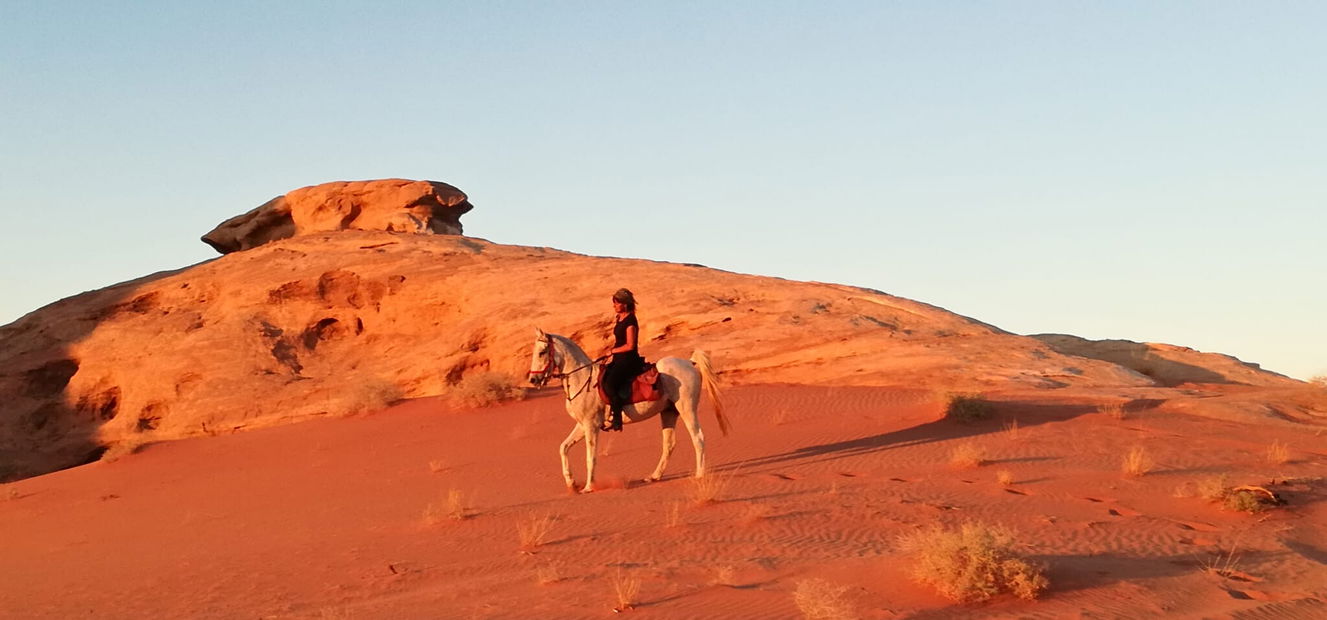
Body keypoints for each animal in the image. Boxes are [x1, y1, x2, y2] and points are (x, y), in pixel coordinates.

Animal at [527, 328, 729, 493]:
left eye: (542, 352)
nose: (533, 380)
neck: (583, 379)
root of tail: (690, 363)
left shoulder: (591, 426)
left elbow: (590, 457)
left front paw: (588, 487)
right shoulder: (582, 425)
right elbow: (563, 447)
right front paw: (572, 483)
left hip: (687, 409)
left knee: (698, 438)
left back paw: (699, 475)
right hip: (669, 412)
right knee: (669, 444)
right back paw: (654, 476)